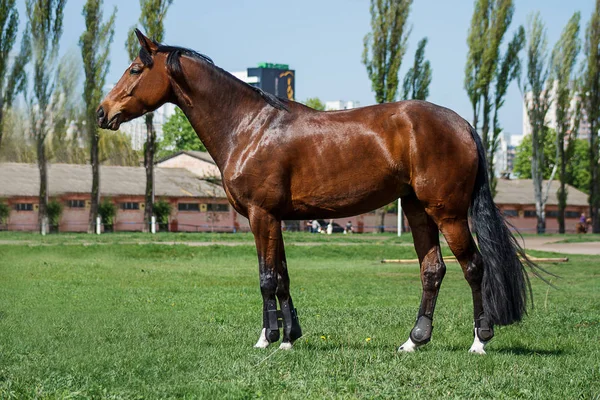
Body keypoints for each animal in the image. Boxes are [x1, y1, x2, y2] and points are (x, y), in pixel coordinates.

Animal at [98, 31, 540, 354]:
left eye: (135, 69)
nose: (102, 112)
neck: (249, 126)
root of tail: (462, 123)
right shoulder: (275, 218)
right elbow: (283, 277)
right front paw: (290, 337)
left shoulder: (260, 215)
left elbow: (266, 278)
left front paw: (267, 340)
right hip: (417, 210)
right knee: (432, 270)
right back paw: (414, 341)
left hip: (447, 212)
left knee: (474, 267)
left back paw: (479, 341)